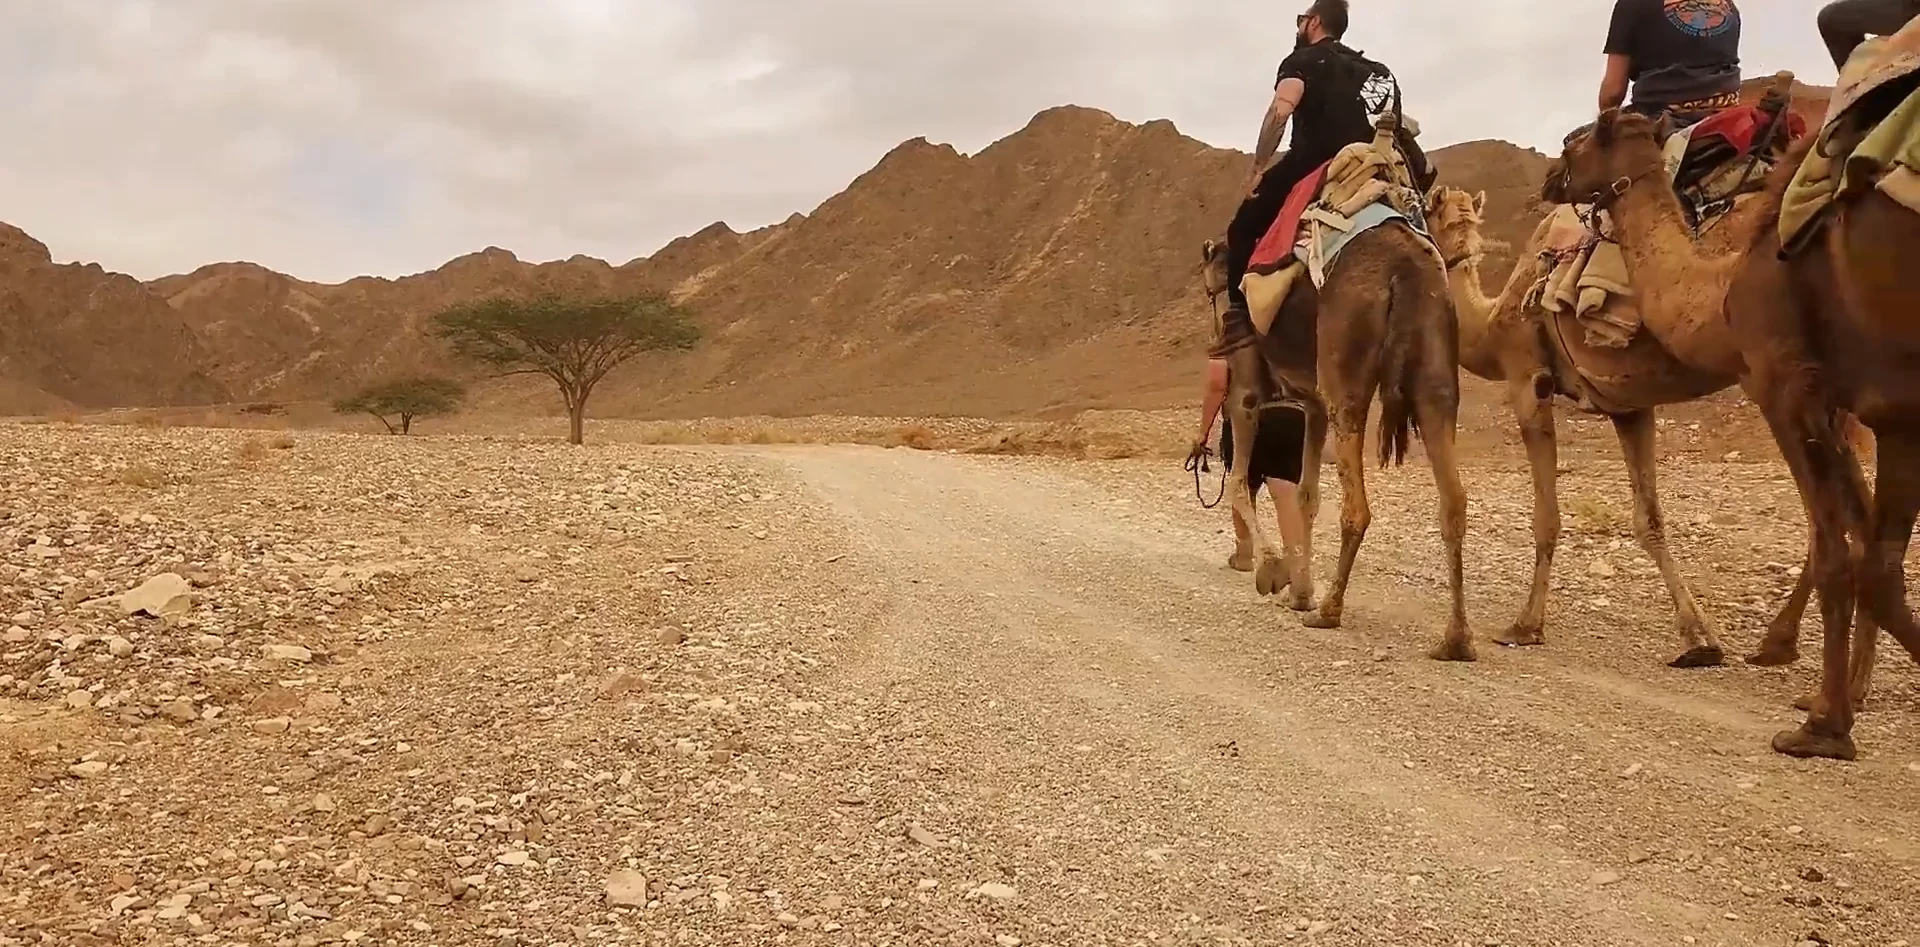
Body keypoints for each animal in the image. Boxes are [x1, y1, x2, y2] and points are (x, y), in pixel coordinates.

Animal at [1198, 199, 1466, 660]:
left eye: (1212, 289)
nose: (1218, 333)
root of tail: (1405, 269)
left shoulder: (1248, 391)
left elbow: (1237, 481)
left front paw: (1275, 571)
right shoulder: (1313, 404)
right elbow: (1306, 495)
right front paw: (1299, 591)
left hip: (1347, 368)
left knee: (1357, 508)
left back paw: (1329, 610)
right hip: (1435, 369)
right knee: (1453, 500)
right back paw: (1455, 639)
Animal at [1428, 184, 1873, 691]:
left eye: (1426, 211)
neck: (1493, 319)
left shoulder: (1527, 380)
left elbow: (1547, 517)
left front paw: (1525, 625)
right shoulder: (1629, 407)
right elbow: (1649, 521)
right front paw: (1700, 640)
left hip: (1779, 380)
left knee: (1831, 516)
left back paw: (1808, 660)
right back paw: (1822, 666)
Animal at [1551, 105, 1912, 760]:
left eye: (1576, 142)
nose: (1548, 179)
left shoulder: (1780, 384)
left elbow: (1839, 543)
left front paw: (1826, 720)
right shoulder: (1858, 401)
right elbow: (1866, 538)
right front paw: (1840, 694)